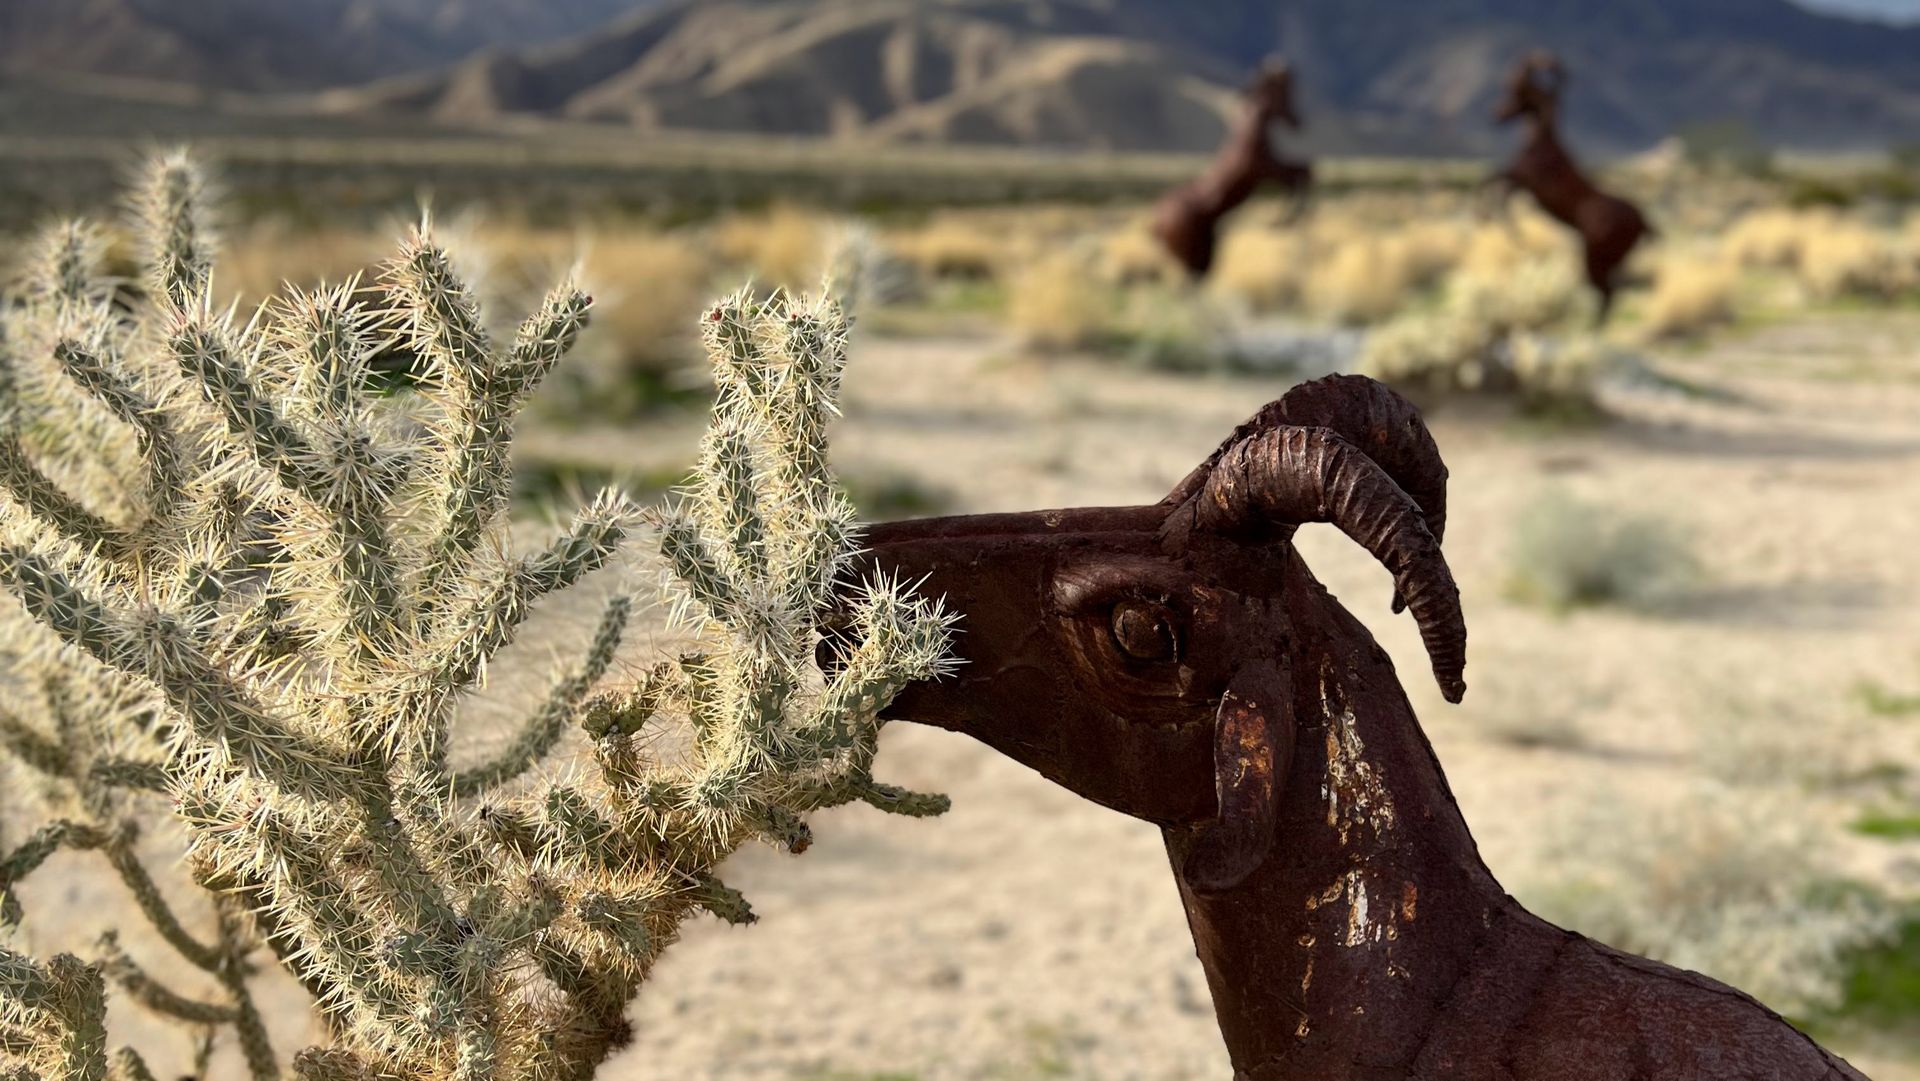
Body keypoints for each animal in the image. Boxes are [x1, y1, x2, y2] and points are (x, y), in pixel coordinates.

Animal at [1153, 58, 1313, 278]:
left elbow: (1304, 171)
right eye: (1282, 90)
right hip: (1190, 257)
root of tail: (1157, 225)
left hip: (1203, 255)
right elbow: (1300, 174)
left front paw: (1287, 219)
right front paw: (1281, 220)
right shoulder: (1266, 169)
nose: (1298, 122)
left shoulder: (1271, 167)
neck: (1249, 127)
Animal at [1489, 51, 1654, 325]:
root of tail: (1643, 222)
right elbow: (1497, 187)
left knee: (1607, 292)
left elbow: (1493, 183)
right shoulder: (1521, 183)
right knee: (1610, 292)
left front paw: (1513, 231)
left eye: (1522, 92)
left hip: (1596, 258)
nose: (1498, 113)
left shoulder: (1523, 178)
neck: (1542, 141)